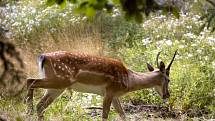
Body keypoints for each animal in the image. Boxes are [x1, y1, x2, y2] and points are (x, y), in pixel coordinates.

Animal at [25, 50, 177, 121]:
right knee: (30, 81)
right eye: (169, 79)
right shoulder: (109, 91)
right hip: (60, 80)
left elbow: (123, 115)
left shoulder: (115, 95)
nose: (167, 95)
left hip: (57, 88)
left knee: (41, 105)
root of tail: (43, 57)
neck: (129, 80)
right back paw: (28, 110)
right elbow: (105, 115)